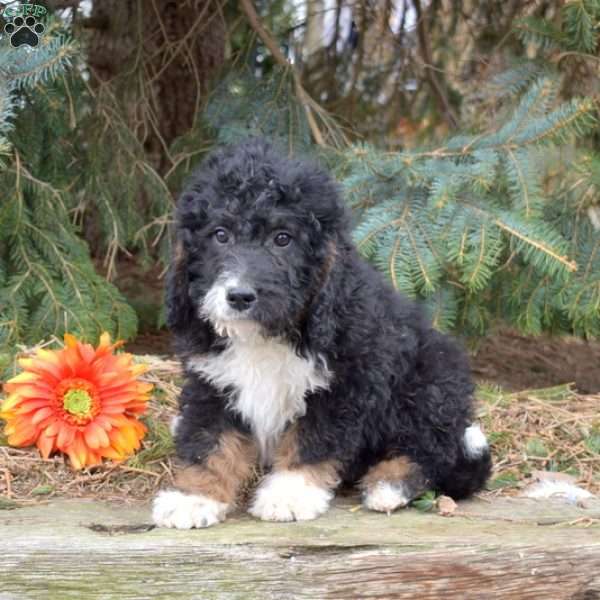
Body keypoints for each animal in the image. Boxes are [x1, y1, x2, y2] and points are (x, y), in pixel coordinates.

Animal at [152, 138, 490, 528]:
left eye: (283, 239)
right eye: (220, 235)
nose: (239, 296)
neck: (269, 334)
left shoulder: (342, 385)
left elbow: (311, 440)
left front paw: (289, 493)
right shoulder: (212, 382)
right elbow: (209, 440)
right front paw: (195, 497)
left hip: (429, 382)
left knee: (433, 452)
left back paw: (389, 484)